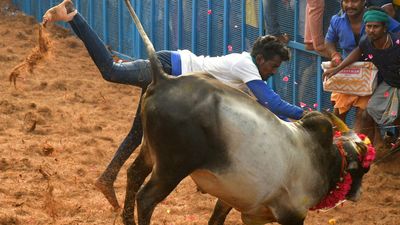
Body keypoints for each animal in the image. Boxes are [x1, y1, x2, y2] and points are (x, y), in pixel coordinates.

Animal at [120, 0, 374, 224]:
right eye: (363, 168)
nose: (358, 195)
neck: (323, 155)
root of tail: (164, 79)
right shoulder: (292, 214)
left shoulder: (235, 203)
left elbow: (217, 219)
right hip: (172, 167)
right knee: (146, 199)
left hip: (149, 152)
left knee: (133, 175)